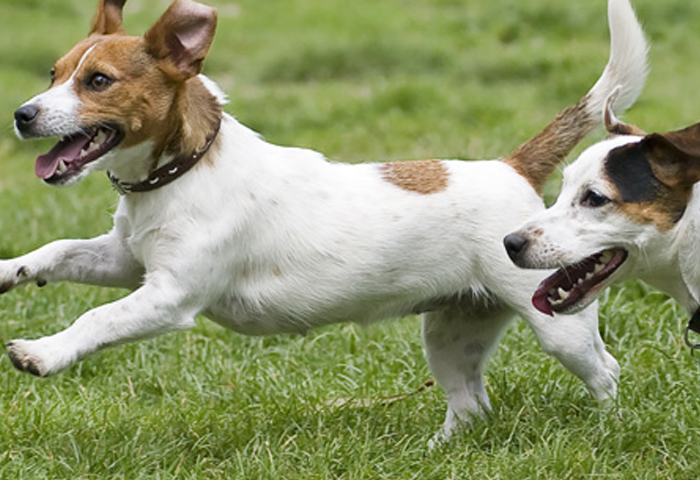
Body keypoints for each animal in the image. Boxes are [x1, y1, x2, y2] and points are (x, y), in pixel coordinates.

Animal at [9, 0, 644, 440]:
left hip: (559, 324)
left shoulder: (169, 296)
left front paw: (43, 352)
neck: (183, 172)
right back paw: (436, 450)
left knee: (607, 370)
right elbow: (59, 251)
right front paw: (9, 269)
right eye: (52, 74)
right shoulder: (125, 260)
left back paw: (608, 425)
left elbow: (97, 319)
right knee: (469, 406)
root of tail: (512, 166)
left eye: (98, 81)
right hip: (451, 332)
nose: (22, 114)